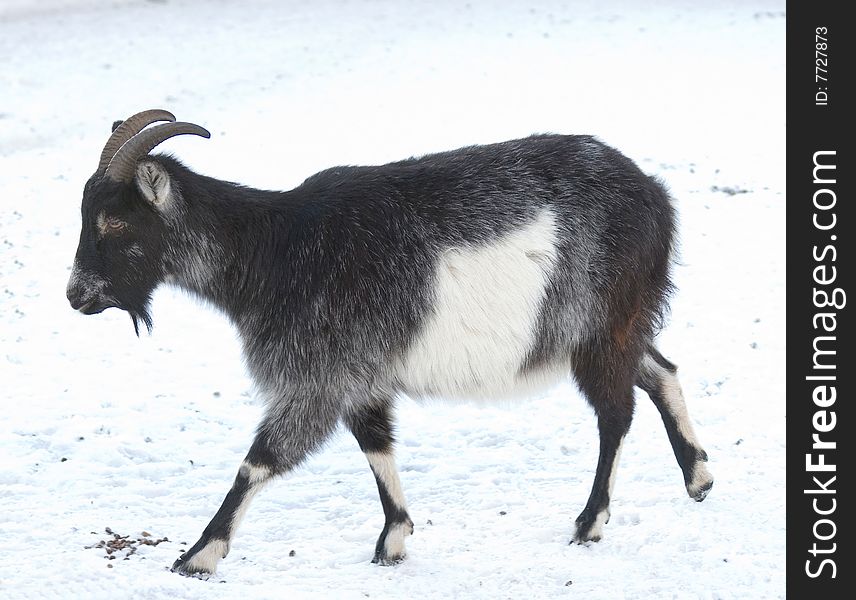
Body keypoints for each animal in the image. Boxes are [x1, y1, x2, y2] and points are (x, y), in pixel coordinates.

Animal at [67, 108, 712, 576]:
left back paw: (589, 523)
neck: (273, 250)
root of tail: (656, 197)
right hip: (617, 323)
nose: (76, 295)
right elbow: (376, 445)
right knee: (661, 370)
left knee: (616, 411)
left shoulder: (317, 378)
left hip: (598, 326)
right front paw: (394, 539)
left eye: (113, 222)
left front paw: (197, 556)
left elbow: (259, 461)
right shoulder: (360, 375)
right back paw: (699, 477)